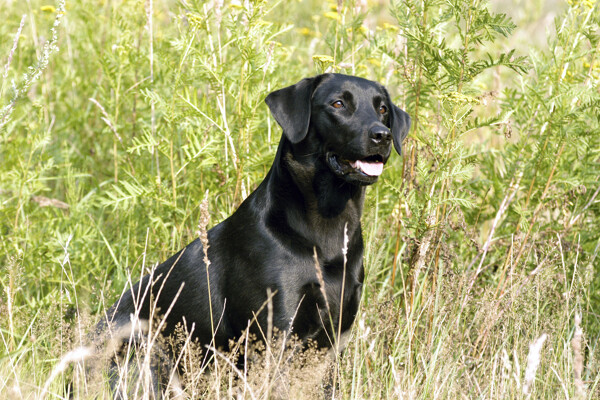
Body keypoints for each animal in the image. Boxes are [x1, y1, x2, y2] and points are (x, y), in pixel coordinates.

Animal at [99, 74, 408, 390]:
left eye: (382, 108)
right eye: (338, 104)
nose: (382, 135)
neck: (327, 230)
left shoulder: (334, 340)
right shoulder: (274, 336)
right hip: (143, 357)